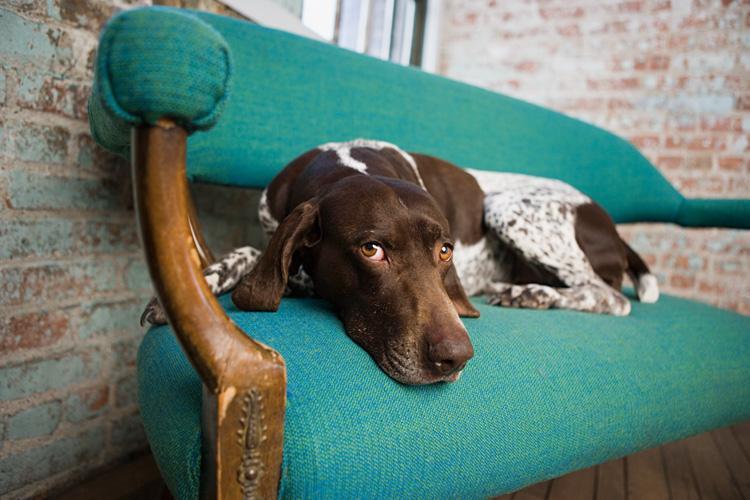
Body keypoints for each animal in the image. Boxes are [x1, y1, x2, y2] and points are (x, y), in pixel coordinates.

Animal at [142, 139, 656, 384]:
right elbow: (254, 254)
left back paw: (528, 293)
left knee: (611, 297)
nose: (456, 357)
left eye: (445, 250)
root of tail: (613, 229)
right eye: (372, 249)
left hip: (510, 207)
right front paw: (194, 287)